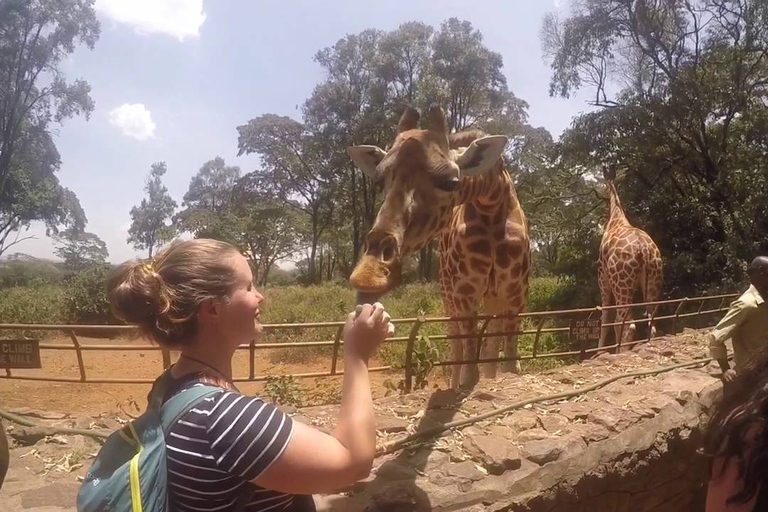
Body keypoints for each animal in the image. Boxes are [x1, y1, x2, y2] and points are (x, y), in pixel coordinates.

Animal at [346, 106, 528, 390]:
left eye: (451, 182)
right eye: (379, 182)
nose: (369, 276)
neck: (491, 207)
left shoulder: (516, 293)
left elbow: (509, 362)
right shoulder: (463, 292)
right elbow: (468, 365)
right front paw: (463, 386)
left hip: (492, 298)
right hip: (448, 296)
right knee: (457, 346)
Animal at [596, 164, 664, 348]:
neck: (616, 218)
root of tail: (643, 249)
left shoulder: (603, 278)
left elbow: (605, 319)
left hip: (621, 284)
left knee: (625, 324)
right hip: (653, 282)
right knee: (651, 323)